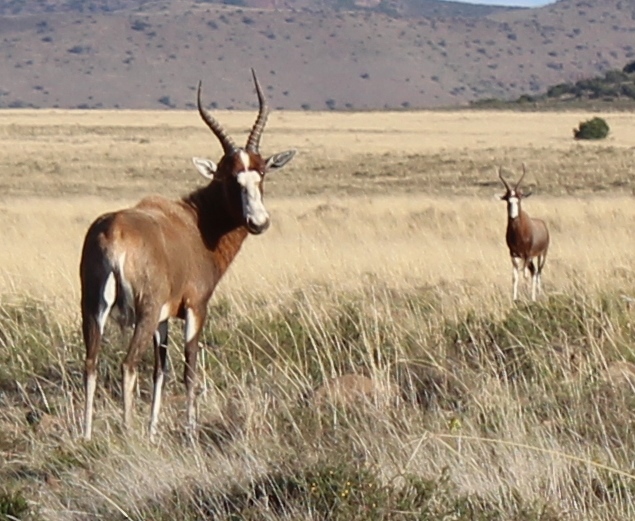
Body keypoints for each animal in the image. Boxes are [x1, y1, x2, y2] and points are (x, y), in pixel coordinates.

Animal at [80, 69, 296, 438]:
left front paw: (153, 430)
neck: (194, 221)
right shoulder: (196, 307)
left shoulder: (164, 318)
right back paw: (127, 432)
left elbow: (161, 370)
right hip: (143, 311)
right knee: (127, 363)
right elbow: (189, 366)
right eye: (229, 177)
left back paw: (85, 434)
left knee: (92, 362)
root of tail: (113, 233)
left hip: (93, 308)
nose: (258, 222)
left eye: (261, 173)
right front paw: (190, 429)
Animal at [500, 165, 548, 302]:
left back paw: (536, 295)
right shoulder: (514, 254)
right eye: (507, 200)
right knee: (534, 271)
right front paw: (515, 298)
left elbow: (526, 275)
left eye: (519, 199)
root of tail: (543, 224)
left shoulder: (527, 254)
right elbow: (515, 276)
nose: (513, 216)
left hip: (541, 254)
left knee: (537, 272)